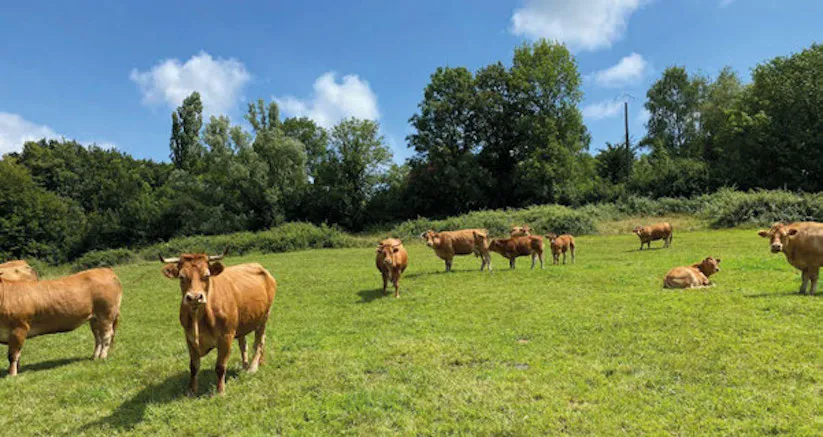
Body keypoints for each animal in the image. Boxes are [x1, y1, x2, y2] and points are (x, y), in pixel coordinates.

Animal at [160, 249, 276, 396]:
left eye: (206, 275)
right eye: (181, 277)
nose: (195, 297)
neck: (199, 319)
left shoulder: (226, 337)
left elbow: (220, 366)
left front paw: (220, 391)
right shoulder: (189, 338)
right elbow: (193, 366)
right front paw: (191, 391)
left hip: (264, 317)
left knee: (259, 342)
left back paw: (253, 367)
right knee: (243, 344)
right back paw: (247, 365)